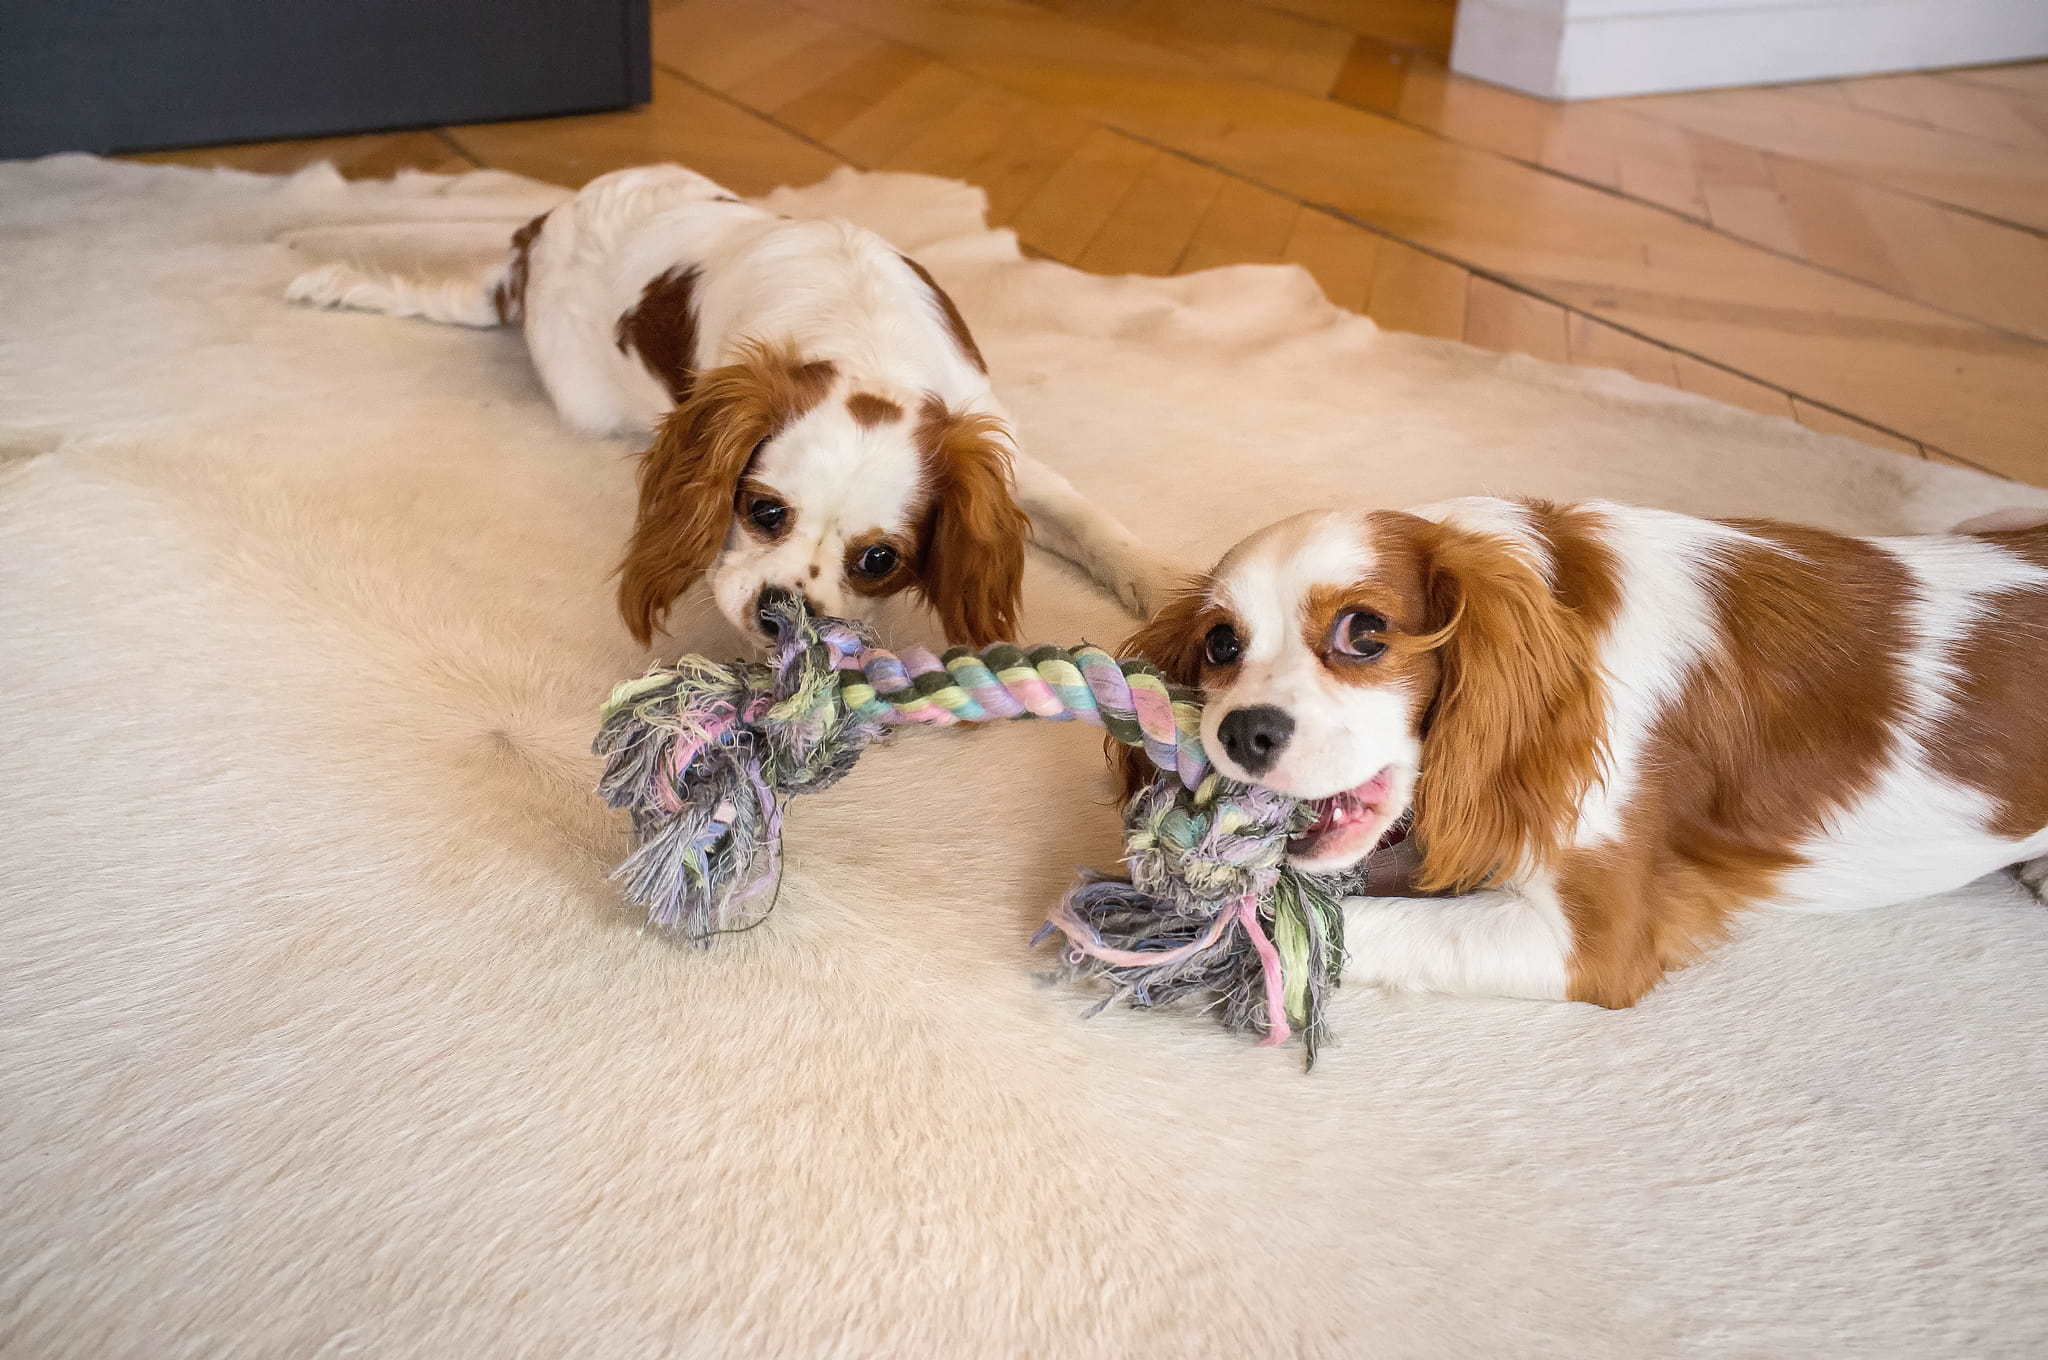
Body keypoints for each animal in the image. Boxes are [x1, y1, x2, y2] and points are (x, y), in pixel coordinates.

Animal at [296, 161, 1179, 651]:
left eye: (879, 560)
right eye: (761, 511)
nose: (780, 611)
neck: (865, 345)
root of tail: (533, 240)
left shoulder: (991, 440)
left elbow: (1089, 520)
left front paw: (1170, 586)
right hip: (583, 390)